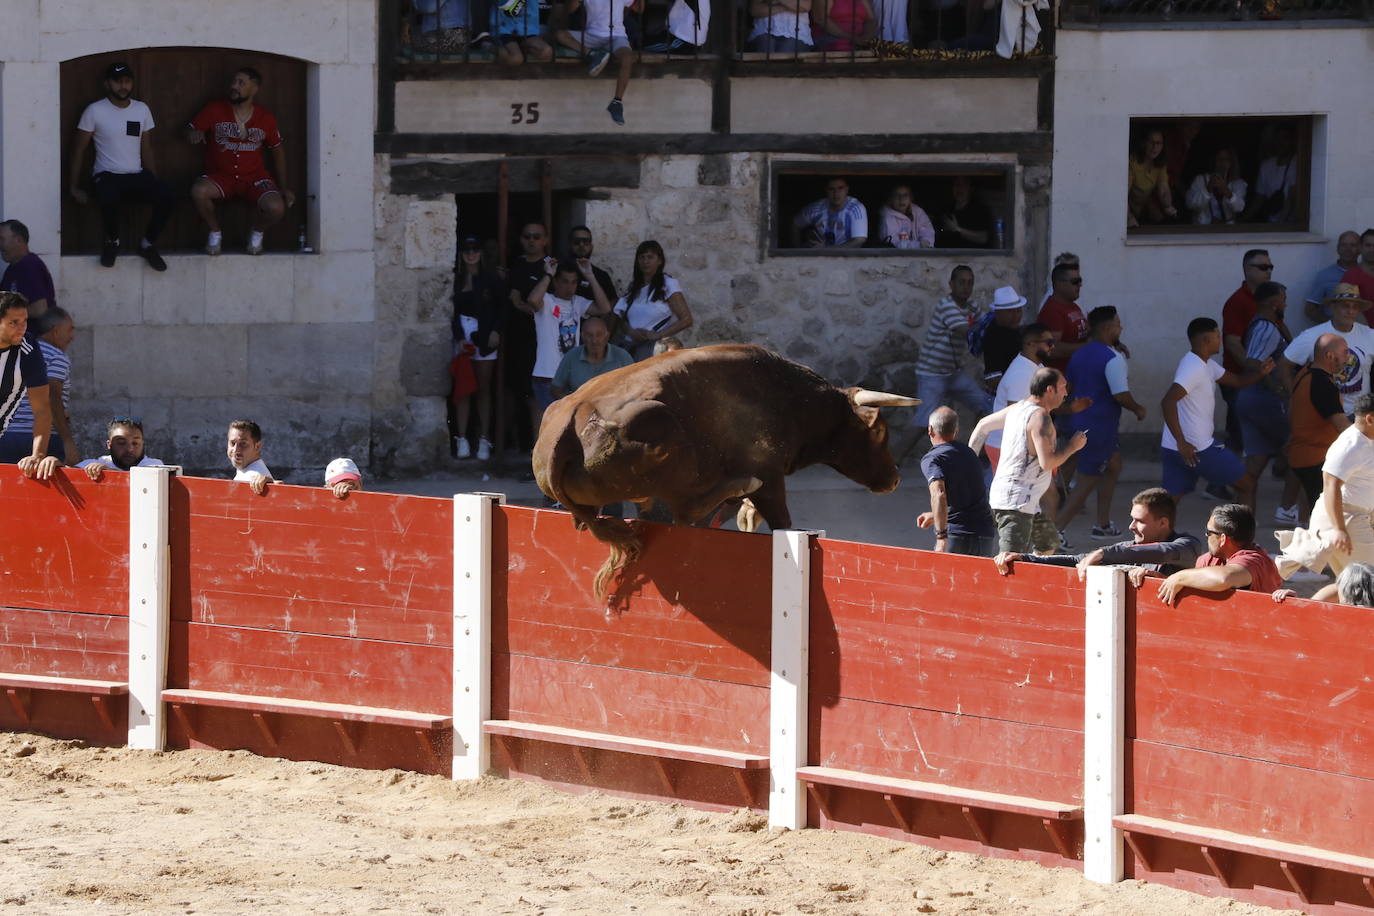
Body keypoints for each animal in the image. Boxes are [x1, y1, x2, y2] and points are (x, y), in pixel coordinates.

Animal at [530, 341, 917, 596]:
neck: (792, 398)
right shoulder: (770, 475)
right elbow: (782, 521)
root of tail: (566, 423)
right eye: (879, 431)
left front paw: (745, 513)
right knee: (687, 509)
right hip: (671, 445)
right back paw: (739, 485)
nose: (895, 478)